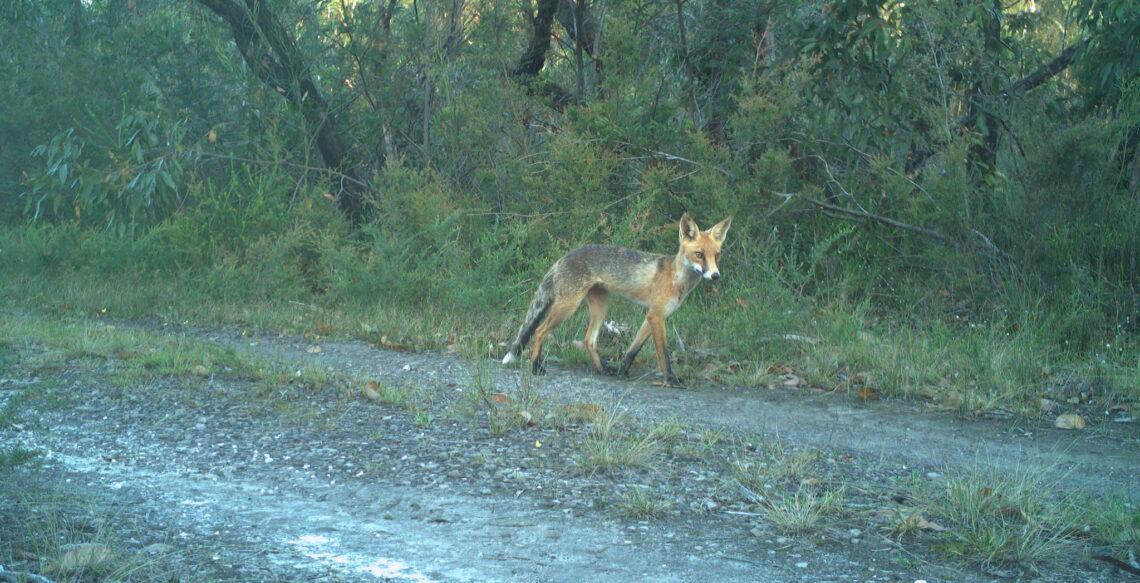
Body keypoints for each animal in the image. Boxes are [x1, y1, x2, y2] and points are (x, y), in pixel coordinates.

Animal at [501, 213, 731, 385]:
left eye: (717, 255)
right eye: (699, 254)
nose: (715, 275)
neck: (676, 279)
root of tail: (564, 256)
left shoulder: (652, 317)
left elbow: (633, 349)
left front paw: (622, 370)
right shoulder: (656, 316)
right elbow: (664, 355)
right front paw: (671, 379)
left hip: (601, 306)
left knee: (589, 340)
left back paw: (602, 369)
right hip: (567, 307)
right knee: (539, 331)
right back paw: (536, 367)